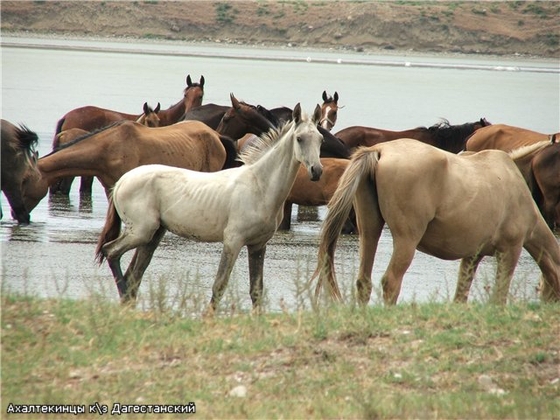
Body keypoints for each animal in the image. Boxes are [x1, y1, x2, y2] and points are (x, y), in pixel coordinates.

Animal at [96, 103, 324, 310]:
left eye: (320, 139)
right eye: (299, 138)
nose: (317, 171)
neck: (259, 185)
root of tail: (122, 181)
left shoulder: (258, 245)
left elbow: (256, 290)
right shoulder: (233, 241)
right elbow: (220, 284)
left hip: (153, 235)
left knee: (134, 273)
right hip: (141, 231)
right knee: (111, 252)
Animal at [316, 138, 560, 306]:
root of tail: (380, 150)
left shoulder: (472, 256)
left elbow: (460, 296)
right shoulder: (510, 250)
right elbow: (499, 297)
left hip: (369, 231)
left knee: (364, 282)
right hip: (406, 240)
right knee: (391, 282)